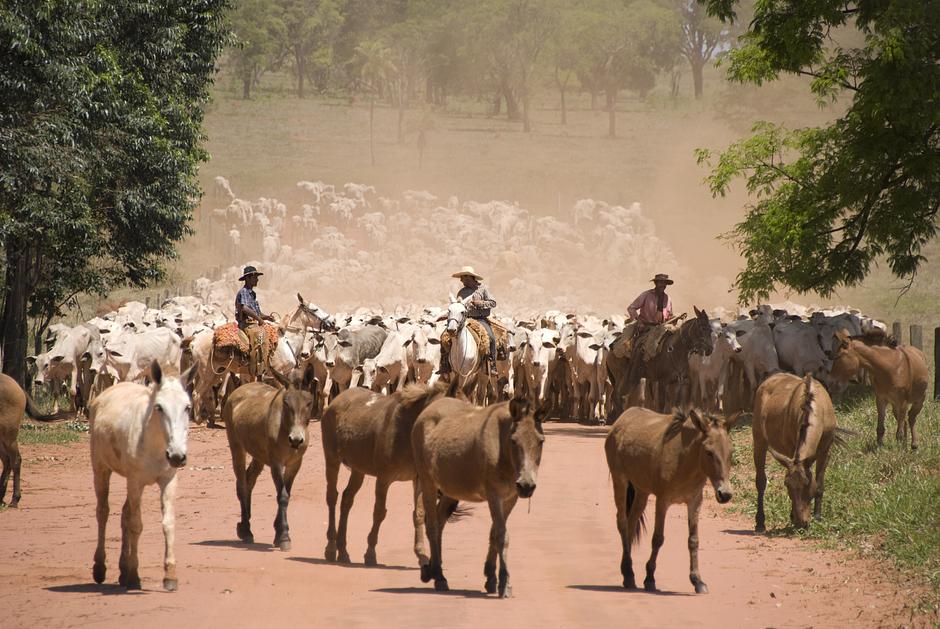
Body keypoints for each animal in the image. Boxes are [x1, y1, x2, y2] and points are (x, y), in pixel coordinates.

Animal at [91, 358, 196, 588]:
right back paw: (100, 568)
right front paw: (134, 575)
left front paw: (170, 575)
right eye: (159, 407)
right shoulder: (136, 481)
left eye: (187, 407)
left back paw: (122, 570)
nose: (177, 456)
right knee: (103, 512)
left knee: (124, 514)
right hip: (101, 469)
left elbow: (167, 523)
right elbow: (136, 525)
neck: (155, 443)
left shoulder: (168, 480)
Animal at [221, 368, 316, 548]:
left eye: (309, 403)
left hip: (258, 455)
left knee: (249, 481)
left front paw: (278, 532)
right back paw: (246, 530)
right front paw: (284, 536)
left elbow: (287, 493)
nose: (296, 440)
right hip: (237, 447)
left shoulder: (295, 464)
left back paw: (244, 526)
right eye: (286, 403)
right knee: (242, 484)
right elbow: (282, 496)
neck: (285, 428)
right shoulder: (276, 464)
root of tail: (240, 388)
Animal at [320, 380, 458, 568]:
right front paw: (370, 553)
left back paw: (343, 551)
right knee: (332, 497)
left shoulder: (419, 479)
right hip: (332, 459)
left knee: (346, 499)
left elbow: (419, 514)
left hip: (358, 469)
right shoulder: (384, 478)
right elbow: (379, 512)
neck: (407, 430)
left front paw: (421, 554)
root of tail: (335, 401)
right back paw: (331, 548)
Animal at [410, 394, 544, 596]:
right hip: (428, 483)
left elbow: (494, 534)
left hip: (450, 490)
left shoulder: (510, 498)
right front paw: (505, 583)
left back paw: (432, 569)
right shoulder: (494, 495)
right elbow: (502, 535)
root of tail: (427, 410)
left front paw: (491, 577)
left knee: (439, 523)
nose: (526, 486)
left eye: (540, 441)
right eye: (514, 441)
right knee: (432, 526)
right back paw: (439, 576)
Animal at [604, 404, 740, 592]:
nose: (725, 494)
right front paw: (650, 578)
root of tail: (621, 420)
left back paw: (627, 572)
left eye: (731, 451)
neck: (684, 461)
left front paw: (697, 580)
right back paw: (629, 573)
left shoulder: (695, 502)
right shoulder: (663, 501)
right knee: (622, 523)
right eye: (708, 452)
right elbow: (657, 539)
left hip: (641, 491)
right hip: (620, 482)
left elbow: (693, 540)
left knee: (631, 524)